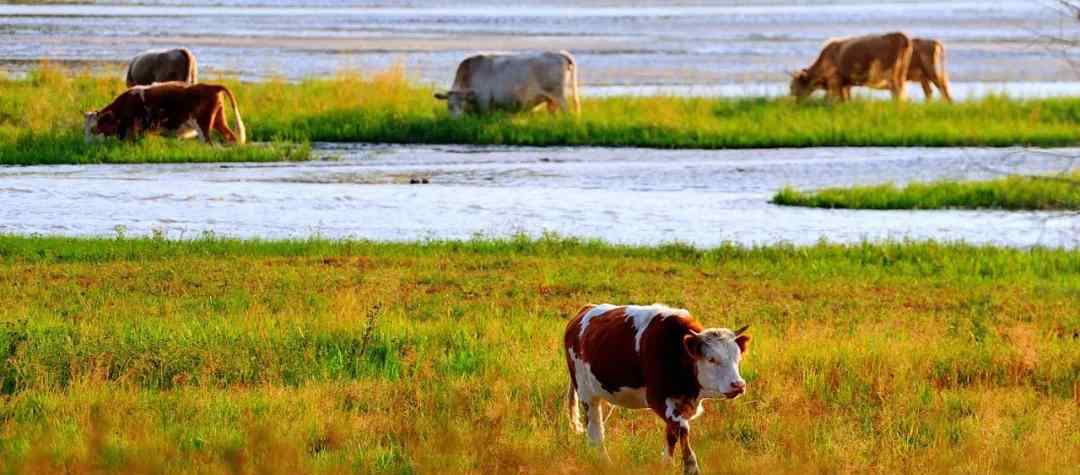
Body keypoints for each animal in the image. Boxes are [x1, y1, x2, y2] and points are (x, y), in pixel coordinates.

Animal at [83, 81, 245, 144]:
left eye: (93, 128)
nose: (86, 143)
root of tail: (210, 86)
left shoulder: (135, 130)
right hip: (219, 120)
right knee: (231, 137)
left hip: (203, 125)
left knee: (209, 143)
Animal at [432, 50, 583, 118]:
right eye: (449, 105)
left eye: (461, 104)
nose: (456, 120)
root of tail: (559, 53)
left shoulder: (484, 101)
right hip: (550, 99)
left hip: (559, 95)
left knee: (567, 111)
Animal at [565, 304, 751, 475]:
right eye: (711, 359)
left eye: (738, 358)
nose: (738, 385)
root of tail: (585, 310)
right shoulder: (658, 400)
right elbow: (682, 430)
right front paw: (690, 468)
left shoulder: (681, 404)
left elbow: (671, 436)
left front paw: (665, 466)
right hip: (586, 393)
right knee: (595, 431)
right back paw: (604, 464)